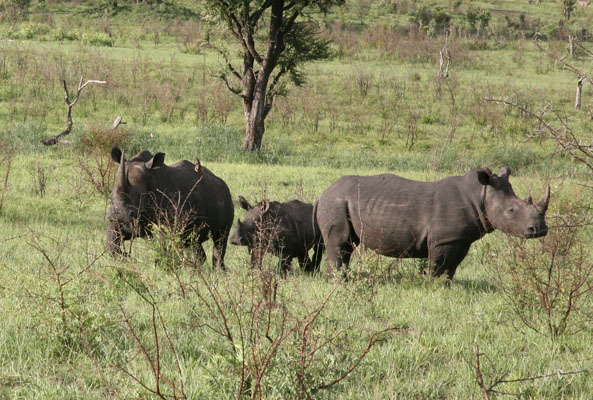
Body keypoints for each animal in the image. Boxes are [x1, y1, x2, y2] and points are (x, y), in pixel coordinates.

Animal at [106, 144, 234, 268]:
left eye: (140, 195)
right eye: (113, 192)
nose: (122, 217)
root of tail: (220, 181)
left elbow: (165, 248)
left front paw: (164, 268)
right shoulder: (115, 219)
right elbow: (111, 246)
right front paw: (128, 258)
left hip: (227, 197)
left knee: (220, 238)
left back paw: (217, 270)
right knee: (192, 242)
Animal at [314, 167, 552, 280]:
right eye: (511, 211)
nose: (540, 230)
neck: (479, 195)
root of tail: (323, 193)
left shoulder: (460, 239)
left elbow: (451, 267)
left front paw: (446, 287)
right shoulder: (444, 239)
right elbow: (439, 266)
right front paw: (432, 287)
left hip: (341, 202)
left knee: (347, 245)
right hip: (336, 202)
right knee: (340, 243)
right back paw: (339, 282)